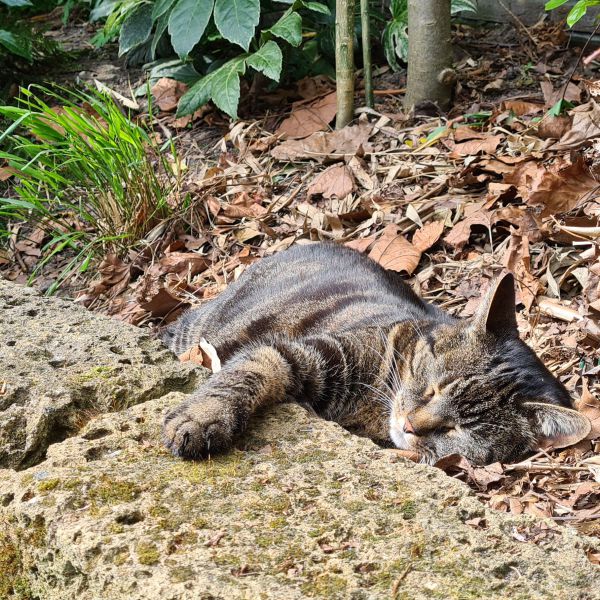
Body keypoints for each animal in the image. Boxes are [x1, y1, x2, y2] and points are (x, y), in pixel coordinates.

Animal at [161, 241, 592, 466]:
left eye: (459, 429)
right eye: (434, 388)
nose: (411, 425)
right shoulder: (306, 351)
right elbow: (252, 368)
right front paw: (201, 418)